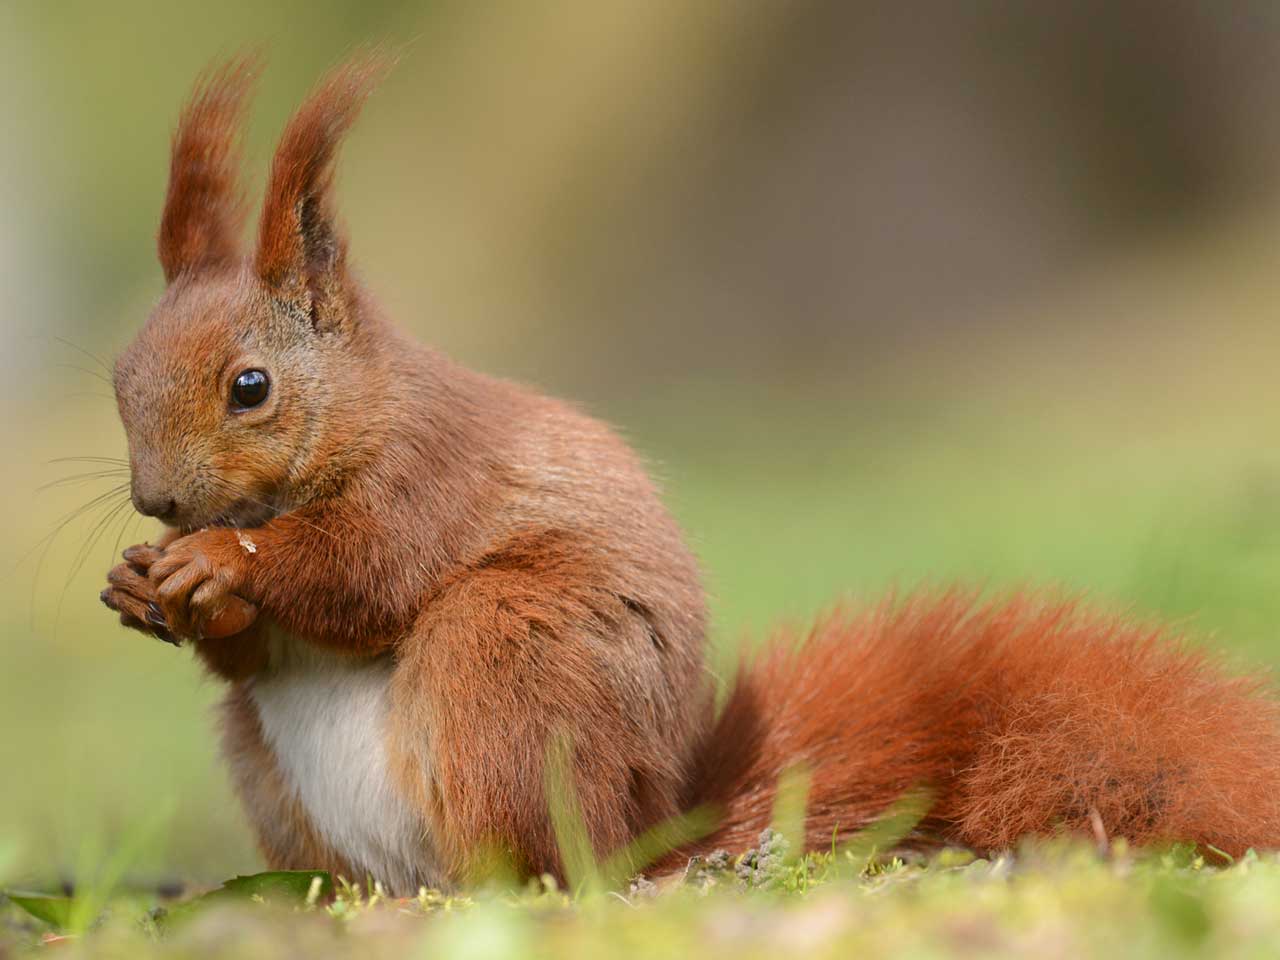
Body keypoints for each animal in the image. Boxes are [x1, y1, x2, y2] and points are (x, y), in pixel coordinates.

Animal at [102, 56, 1280, 890]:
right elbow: (254, 652)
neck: (358, 413)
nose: (158, 502)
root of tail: (642, 841)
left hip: (504, 657)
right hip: (276, 769)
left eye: (251, 387)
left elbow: (359, 572)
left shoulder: (430, 476)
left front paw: (221, 561)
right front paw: (141, 581)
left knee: (530, 865)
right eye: (119, 374)